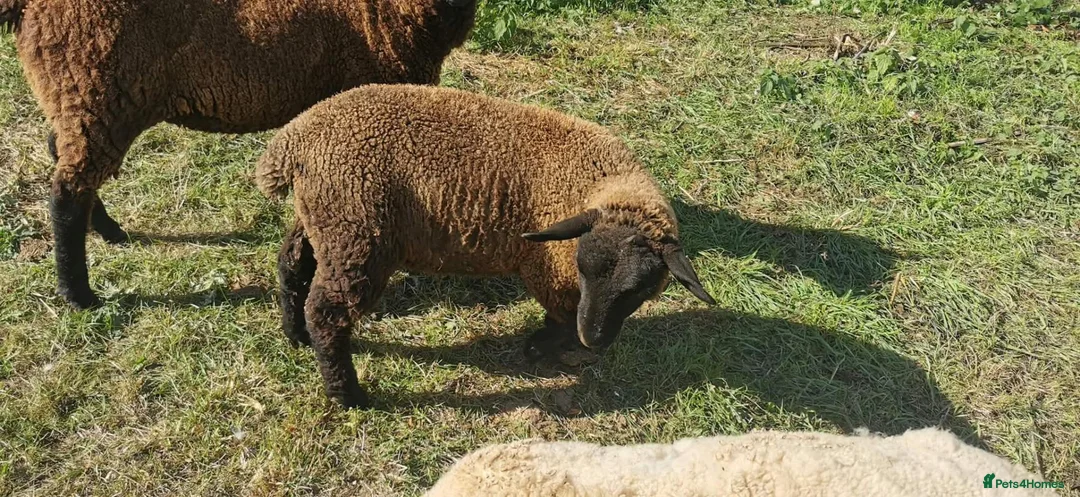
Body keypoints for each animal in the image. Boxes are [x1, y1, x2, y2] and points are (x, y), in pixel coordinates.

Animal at [0, 0, 477, 309]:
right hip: (96, 85)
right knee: (67, 191)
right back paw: (79, 295)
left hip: (78, 95)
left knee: (63, 155)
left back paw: (108, 231)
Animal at [254, 84, 717, 408]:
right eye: (583, 267)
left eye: (641, 288)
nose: (594, 339)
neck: (592, 182)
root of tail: (293, 141)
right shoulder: (547, 268)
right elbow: (561, 315)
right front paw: (539, 347)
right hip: (357, 232)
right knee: (328, 312)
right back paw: (347, 395)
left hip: (324, 220)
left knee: (291, 266)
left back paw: (295, 334)